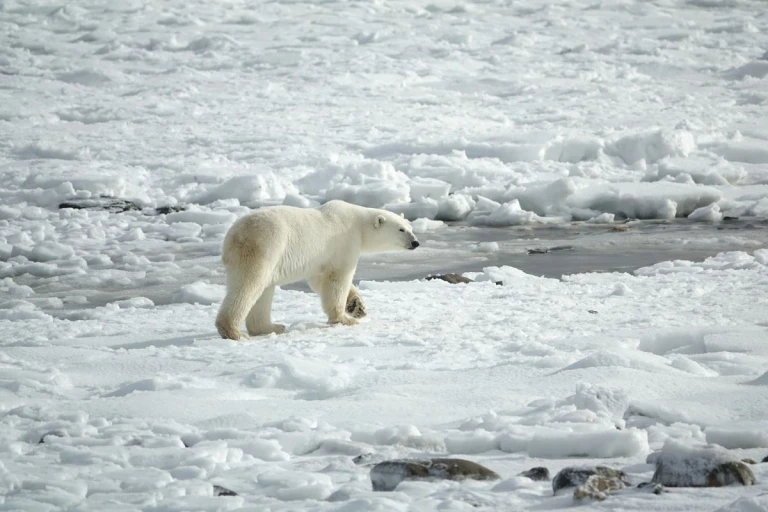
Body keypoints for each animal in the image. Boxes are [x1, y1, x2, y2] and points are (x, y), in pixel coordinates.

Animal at [215, 200, 420, 340]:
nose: (416, 242)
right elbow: (338, 279)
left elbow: (319, 280)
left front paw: (357, 307)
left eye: (410, 227)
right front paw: (345, 319)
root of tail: (233, 236)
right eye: (401, 230)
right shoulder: (344, 242)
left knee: (263, 290)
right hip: (264, 246)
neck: (358, 223)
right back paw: (234, 332)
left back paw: (272, 327)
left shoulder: (320, 258)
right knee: (249, 285)